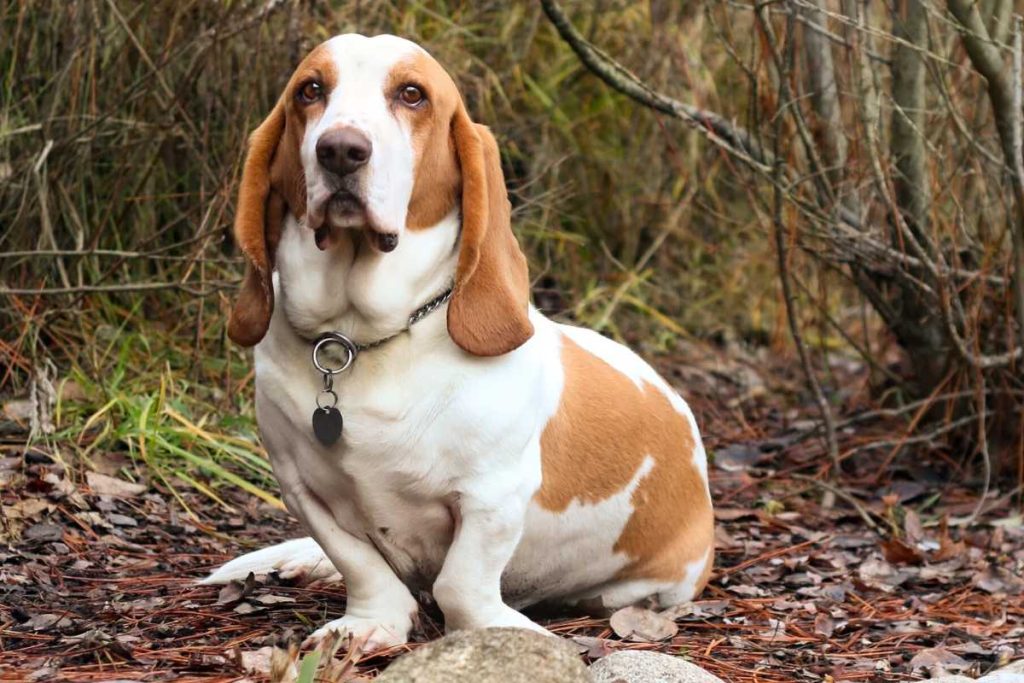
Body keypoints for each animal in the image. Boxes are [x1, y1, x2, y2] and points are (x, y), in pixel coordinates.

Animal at [199, 33, 712, 651]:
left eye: (412, 94)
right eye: (310, 90)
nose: (340, 150)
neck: (357, 340)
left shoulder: (493, 498)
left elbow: (461, 584)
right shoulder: (304, 490)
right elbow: (360, 565)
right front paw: (368, 624)